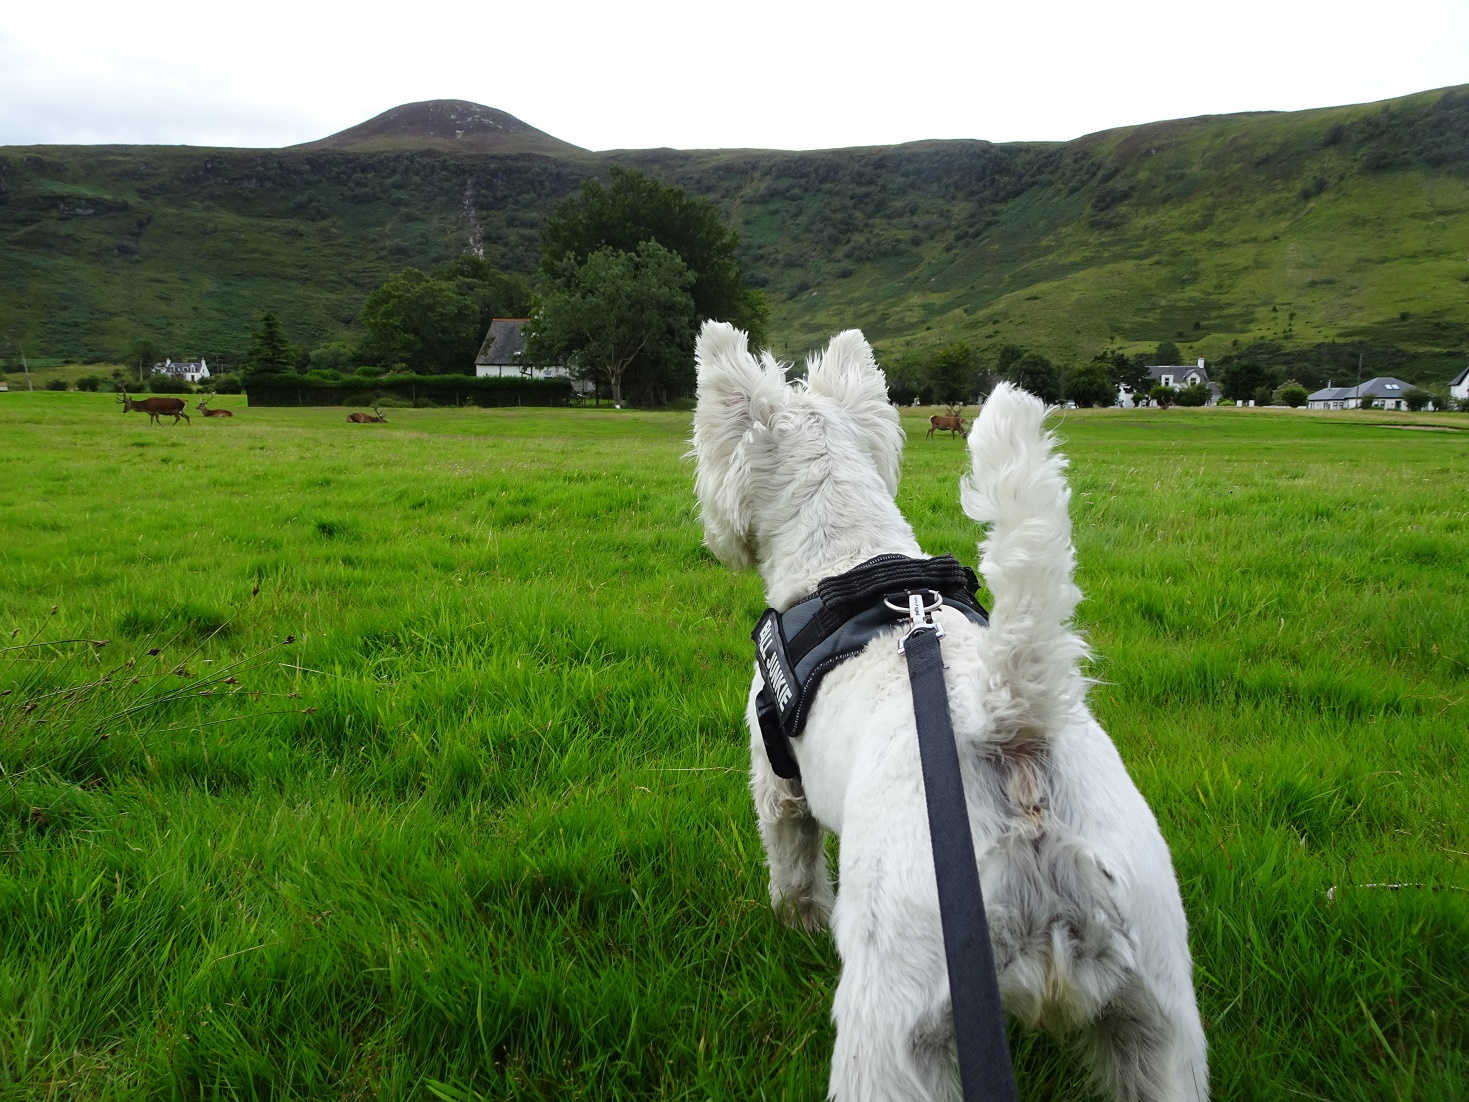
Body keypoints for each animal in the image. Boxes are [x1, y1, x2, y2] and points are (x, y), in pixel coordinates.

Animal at [687, 321, 1204, 1102]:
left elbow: (792, 862)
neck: (850, 557)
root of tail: (1013, 731)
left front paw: (796, 925)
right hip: (1156, 1003)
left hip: (897, 1005)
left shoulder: (778, 781)